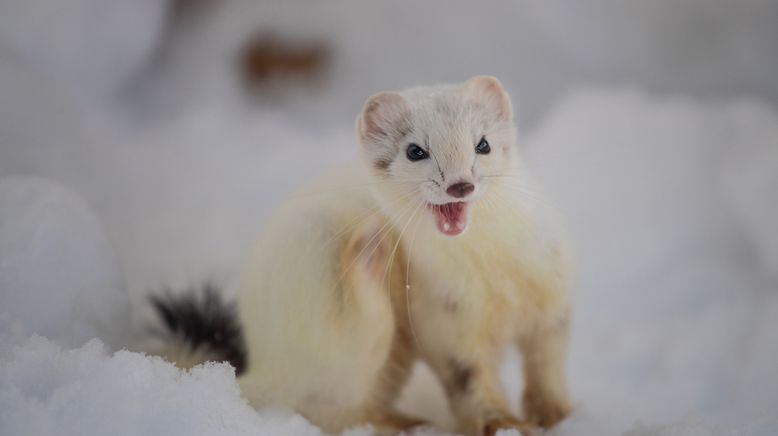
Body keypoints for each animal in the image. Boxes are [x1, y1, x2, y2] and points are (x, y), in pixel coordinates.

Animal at [235, 76, 568, 434]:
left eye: (483, 144)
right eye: (415, 151)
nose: (459, 184)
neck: (493, 277)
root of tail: (259, 361)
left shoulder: (554, 291)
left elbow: (547, 362)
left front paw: (554, 413)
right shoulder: (442, 316)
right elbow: (468, 380)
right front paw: (504, 423)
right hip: (314, 267)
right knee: (337, 387)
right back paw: (368, 254)